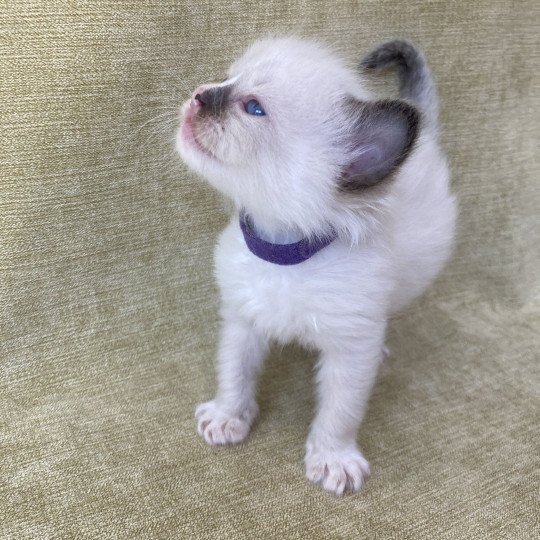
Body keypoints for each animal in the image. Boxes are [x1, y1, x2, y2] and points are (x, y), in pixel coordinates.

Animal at [176, 35, 456, 496]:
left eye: (253, 108)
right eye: (225, 79)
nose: (199, 95)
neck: (285, 255)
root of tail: (426, 136)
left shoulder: (350, 350)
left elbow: (340, 413)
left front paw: (332, 459)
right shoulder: (242, 321)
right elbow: (234, 374)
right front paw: (229, 417)